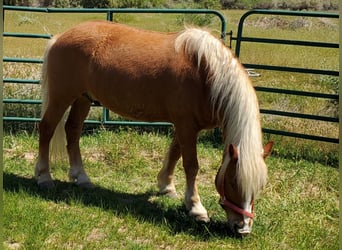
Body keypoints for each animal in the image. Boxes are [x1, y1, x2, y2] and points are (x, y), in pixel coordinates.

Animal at [34, 20, 272, 235]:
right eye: (233, 182)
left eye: (260, 186)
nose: (243, 228)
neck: (205, 74)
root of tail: (59, 37)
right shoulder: (186, 125)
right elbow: (191, 166)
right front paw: (196, 208)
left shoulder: (185, 126)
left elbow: (174, 154)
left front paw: (166, 187)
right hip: (61, 97)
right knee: (46, 129)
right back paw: (44, 177)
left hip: (83, 98)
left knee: (72, 131)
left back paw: (81, 177)